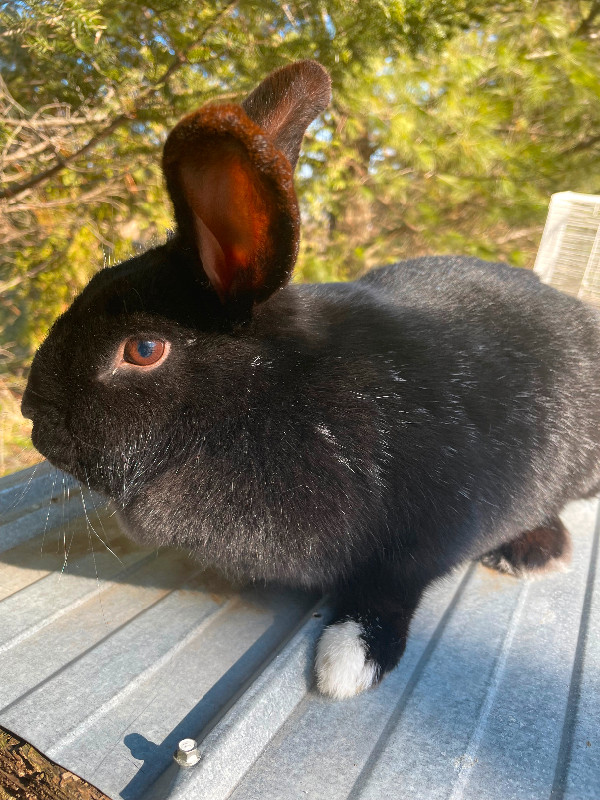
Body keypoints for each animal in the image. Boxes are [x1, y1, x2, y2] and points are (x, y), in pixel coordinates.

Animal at [22, 61, 600, 700]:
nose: (30, 414)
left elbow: (393, 588)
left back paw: (533, 550)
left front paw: (350, 658)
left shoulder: (436, 524)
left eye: (143, 350)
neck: (264, 402)